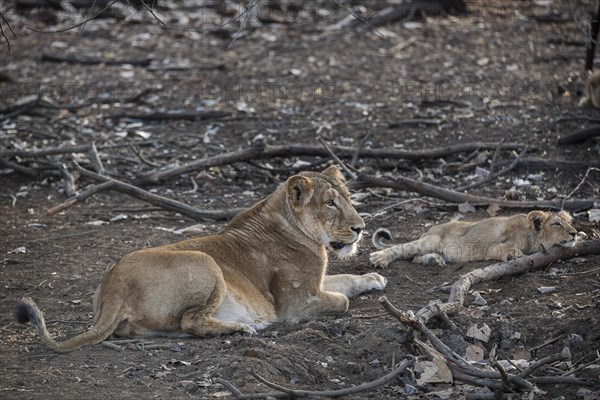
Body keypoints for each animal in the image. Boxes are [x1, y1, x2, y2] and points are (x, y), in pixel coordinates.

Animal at [17, 166, 390, 354]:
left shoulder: (316, 284)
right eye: (330, 203)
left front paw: (373, 279)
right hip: (204, 261)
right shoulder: (296, 303)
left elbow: (345, 281)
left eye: (348, 198)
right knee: (191, 322)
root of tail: (113, 286)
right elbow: (341, 300)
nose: (360, 227)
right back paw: (245, 327)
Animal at [368, 209, 580, 268]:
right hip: (431, 240)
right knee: (405, 250)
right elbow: (507, 249)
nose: (574, 233)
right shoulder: (493, 247)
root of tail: (428, 230)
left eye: (569, 223)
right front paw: (514, 255)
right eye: (557, 224)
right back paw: (379, 258)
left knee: (414, 257)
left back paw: (435, 260)